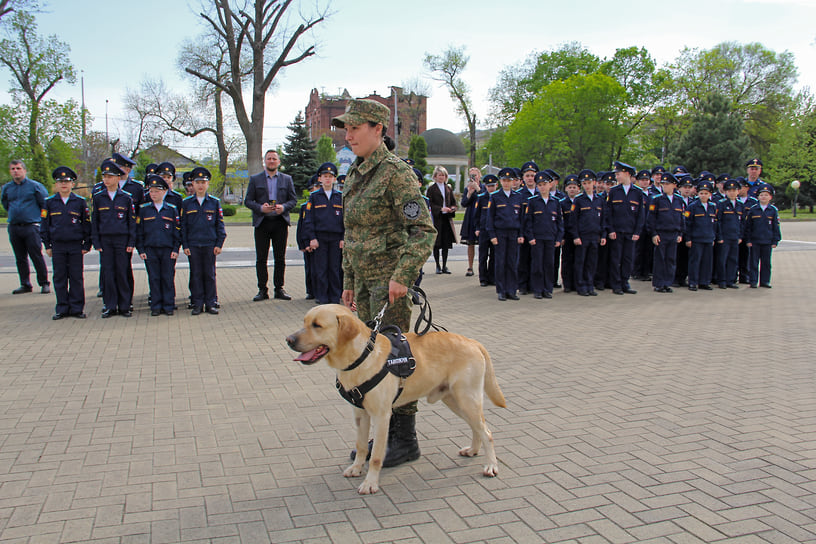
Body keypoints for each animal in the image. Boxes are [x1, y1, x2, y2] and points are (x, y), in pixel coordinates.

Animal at [286, 304, 504, 496]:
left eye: (317, 325)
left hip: (467, 398)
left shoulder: (382, 416)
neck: (361, 357)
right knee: (478, 428)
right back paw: (473, 450)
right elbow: (361, 445)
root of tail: (472, 341)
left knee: (487, 432)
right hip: (454, 400)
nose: (288, 339)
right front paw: (356, 468)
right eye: (304, 322)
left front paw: (370, 483)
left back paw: (491, 465)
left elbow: (376, 456)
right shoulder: (360, 414)